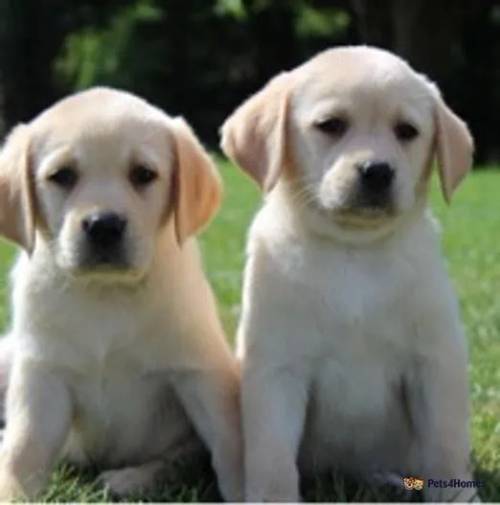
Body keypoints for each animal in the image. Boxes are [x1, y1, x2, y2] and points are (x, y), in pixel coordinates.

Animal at [0, 87, 242, 500]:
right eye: (62, 176)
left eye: (143, 174)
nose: (104, 225)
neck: (106, 292)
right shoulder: (42, 375)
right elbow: (23, 449)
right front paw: (11, 493)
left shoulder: (199, 372)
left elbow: (228, 444)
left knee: (180, 459)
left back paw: (132, 478)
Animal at [223, 46, 476, 500]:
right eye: (331, 125)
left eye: (407, 131)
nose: (377, 171)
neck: (353, 251)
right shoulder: (276, 369)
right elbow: (272, 458)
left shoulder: (434, 360)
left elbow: (447, 447)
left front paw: (459, 498)